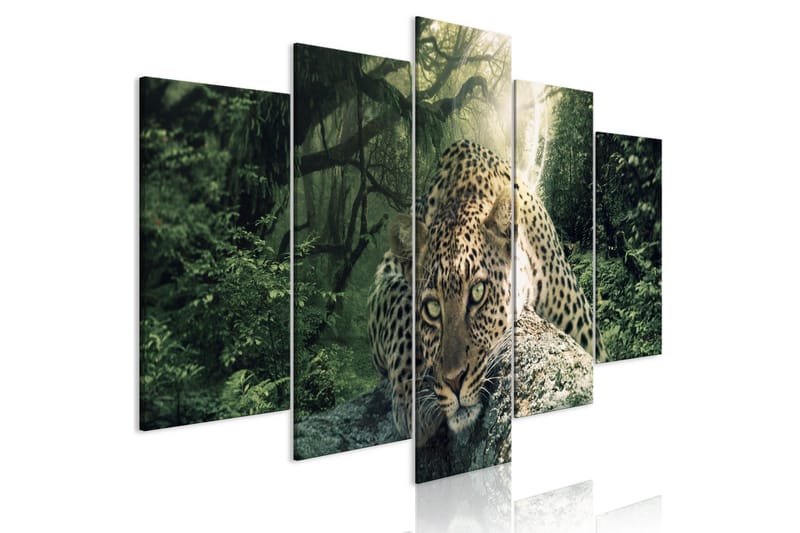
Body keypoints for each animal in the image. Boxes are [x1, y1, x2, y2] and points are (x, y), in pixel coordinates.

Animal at [369, 139, 602, 445]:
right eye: (432, 308)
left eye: (478, 292)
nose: (454, 380)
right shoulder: (383, 278)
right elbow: (399, 305)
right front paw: (414, 400)